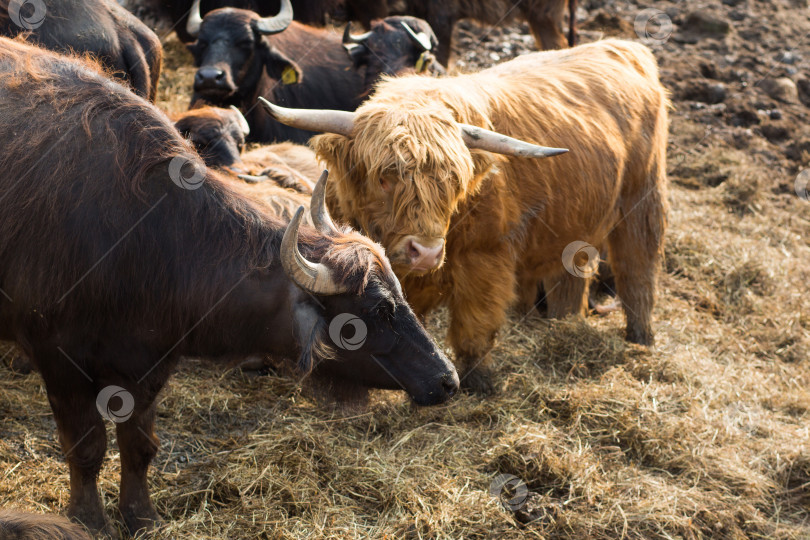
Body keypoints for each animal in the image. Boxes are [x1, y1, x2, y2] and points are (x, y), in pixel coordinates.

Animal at [260, 38, 668, 392]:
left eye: (454, 182)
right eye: (384, 177)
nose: (426, 252)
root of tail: (620, 45)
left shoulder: (485, 259)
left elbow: (475, 327)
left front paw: (480, 384)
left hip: (642, 200)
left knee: (637, 270)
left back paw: (641, 339)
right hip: (575, 222)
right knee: (570, 281)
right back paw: (565, 325)